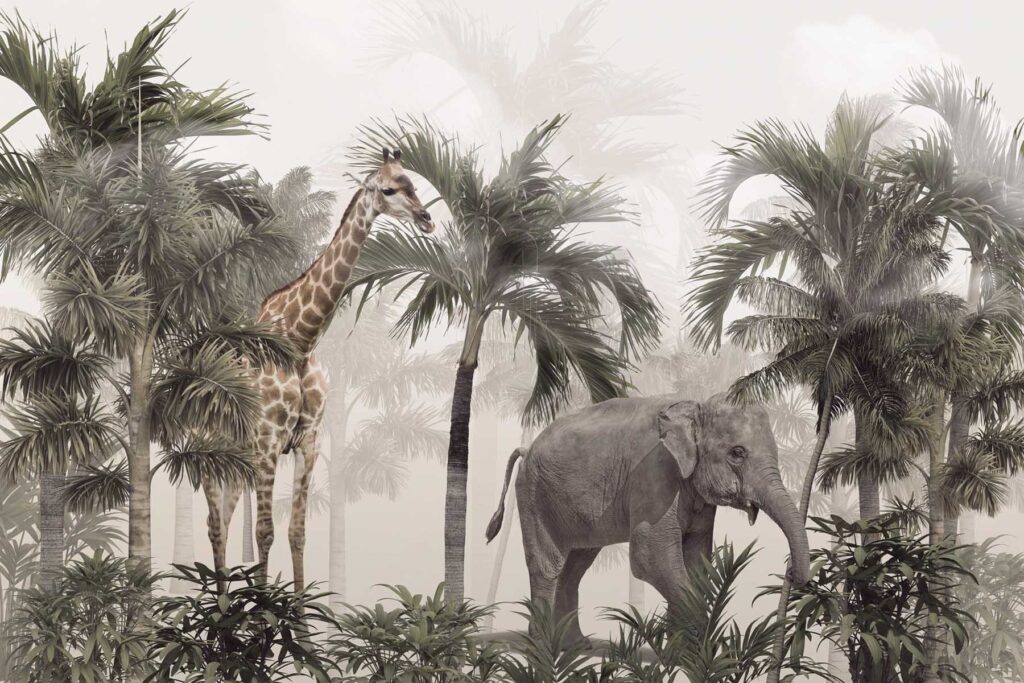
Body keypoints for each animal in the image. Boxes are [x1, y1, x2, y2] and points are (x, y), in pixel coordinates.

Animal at [202, 148, 434, 589]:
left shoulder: (308, 441)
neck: (300, 340)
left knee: (224, 517)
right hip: (206, 449)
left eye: (414, 183)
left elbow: (297, 532)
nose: (426, 219)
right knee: (215, 525)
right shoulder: (268, 441)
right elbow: (264, 532)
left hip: (235, 458)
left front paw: (300, 611)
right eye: (388, 189)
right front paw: (265, 610)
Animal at [485, 394, 810, 642]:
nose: (791, 574)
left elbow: (696, 559)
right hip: (534, 495)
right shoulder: (655, 474)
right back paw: (542, 647)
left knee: (574, 566)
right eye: (737, 453)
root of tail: (526, 449)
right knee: (548, 565)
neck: (696, 403)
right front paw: (700, 651)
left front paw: (679, 651)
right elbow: (651, 556)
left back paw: (574, 646)